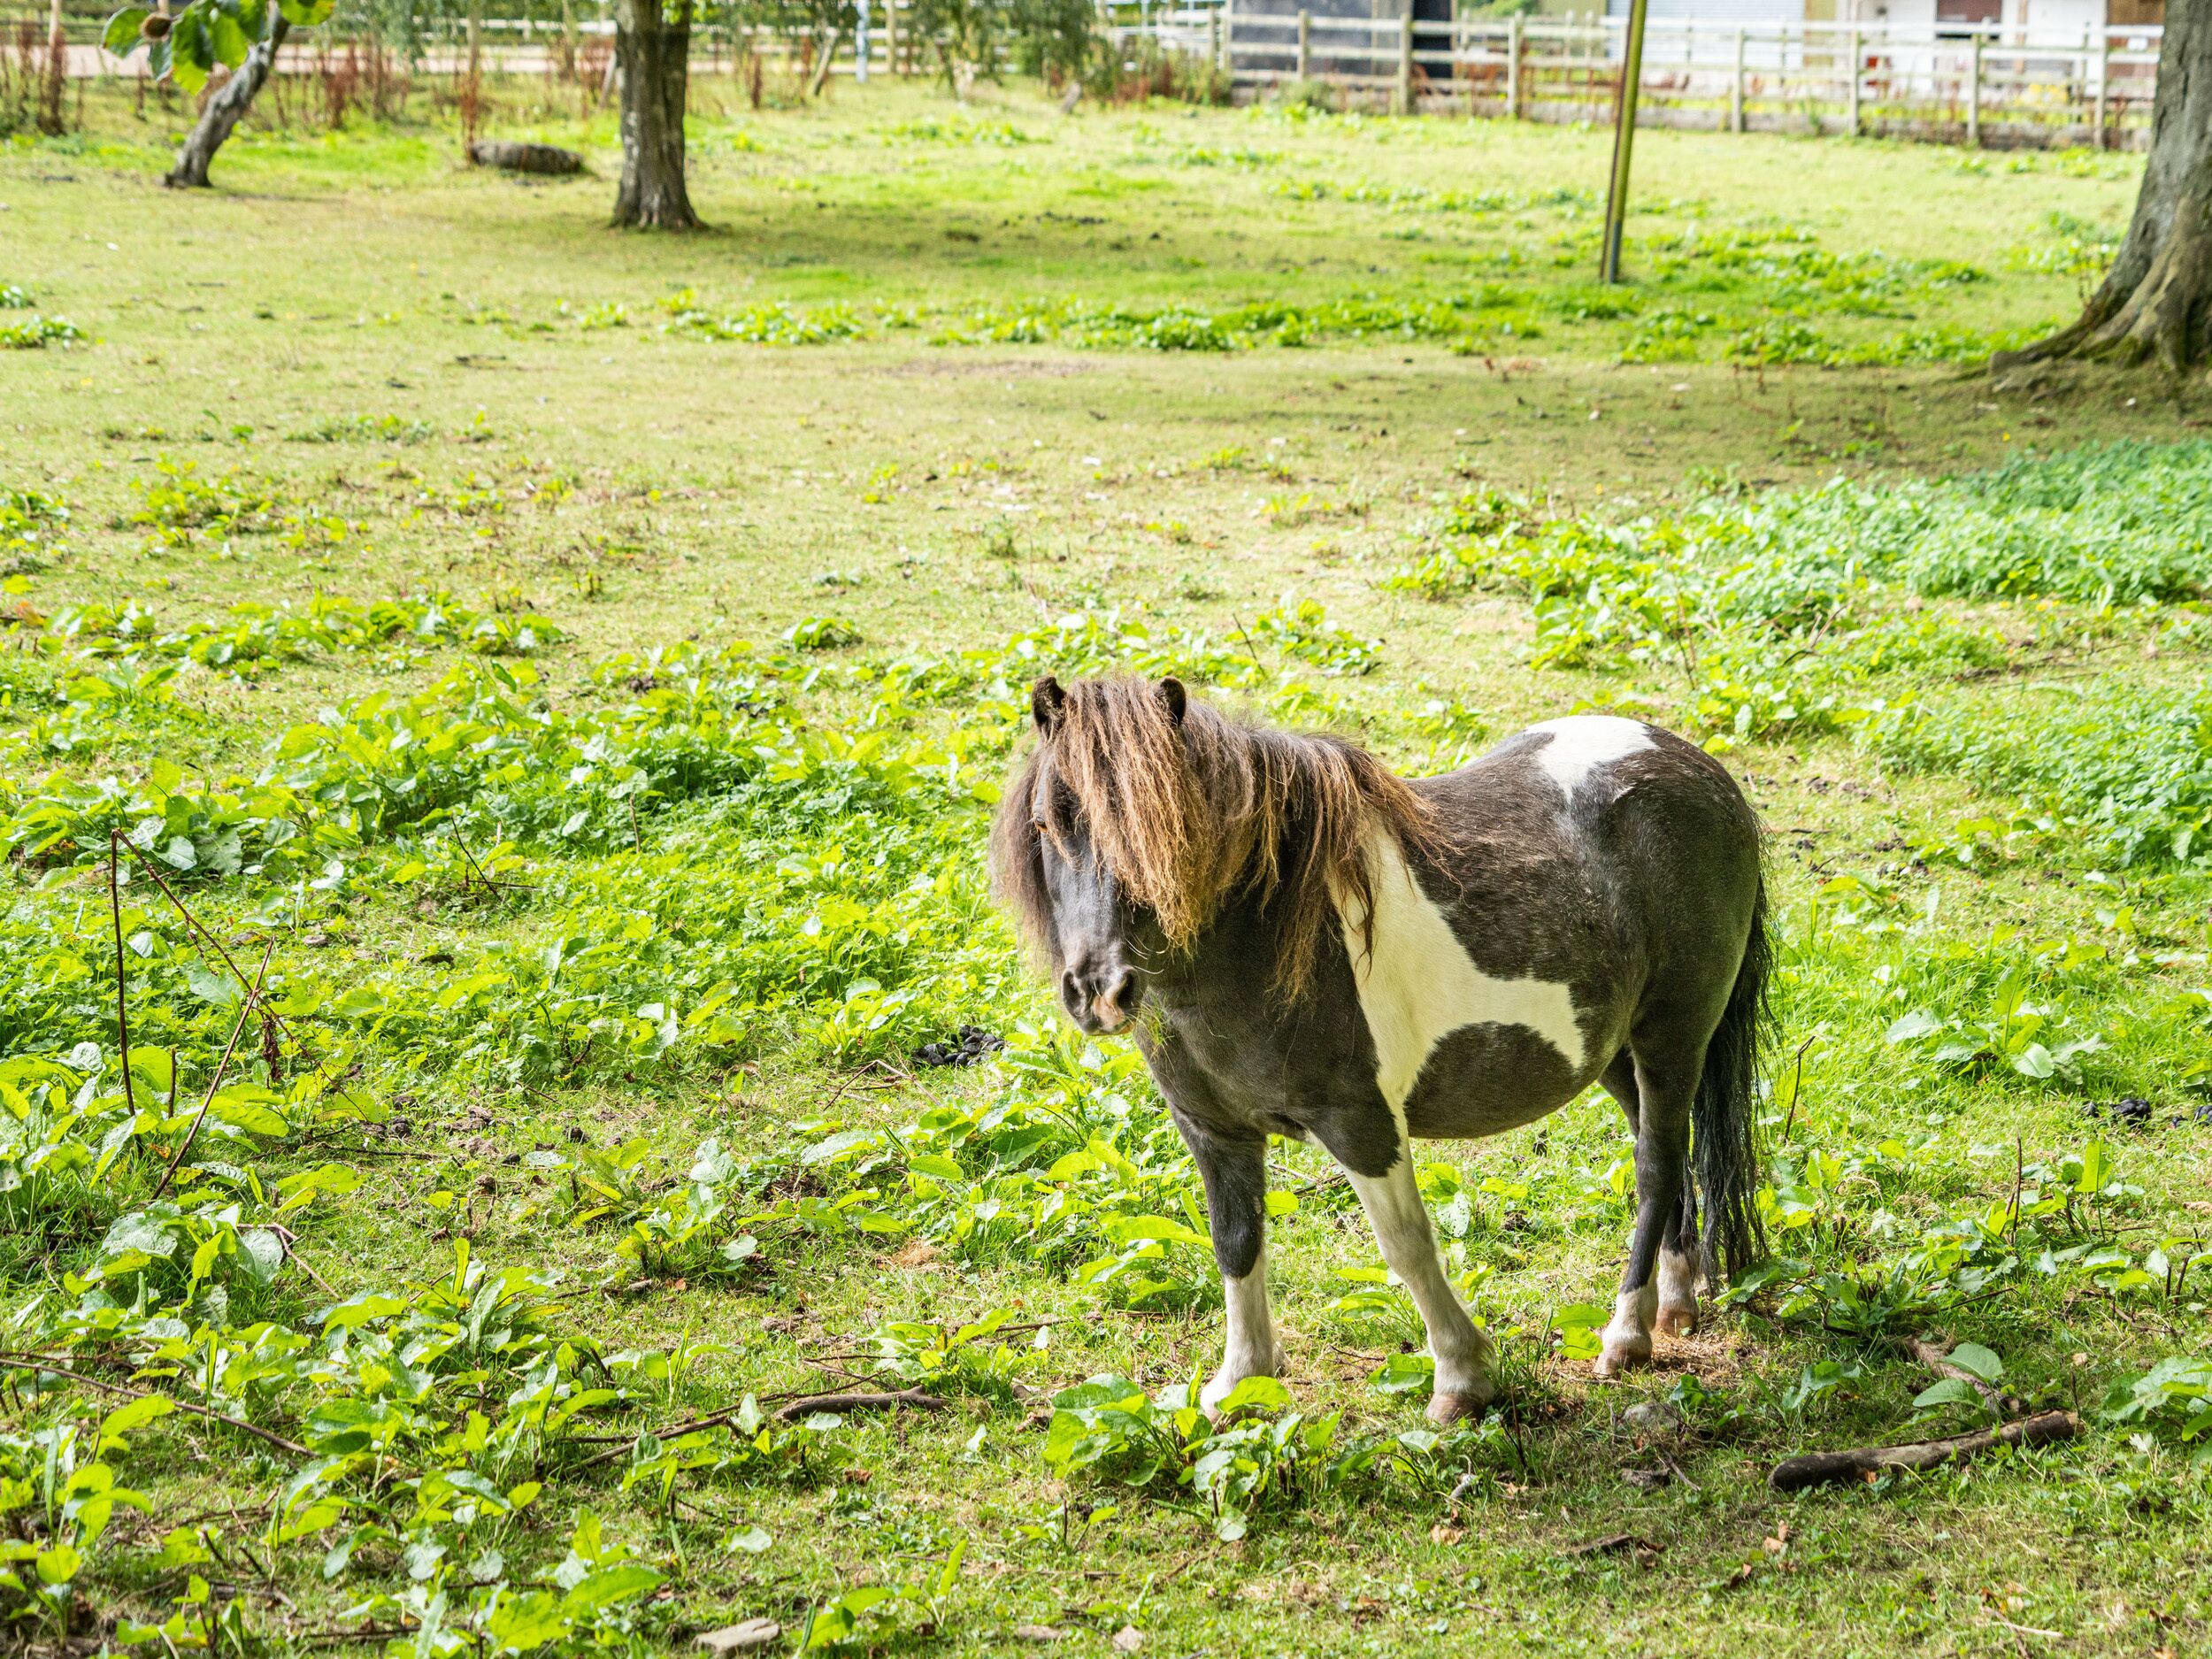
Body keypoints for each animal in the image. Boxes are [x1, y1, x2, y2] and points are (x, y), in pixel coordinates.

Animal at [992, 674, 1769, 1424]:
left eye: (1168, 830)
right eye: (1045, 823)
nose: (1098, 989)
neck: (1262, 935)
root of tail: (1702, 770)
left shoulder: (1362, 1123)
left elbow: (1404, 1243)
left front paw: (1462, 1378)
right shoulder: (1214, 1133)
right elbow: (1236, 1242)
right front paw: (1239, 1383)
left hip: (1674, 1034)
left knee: (1656, 1166)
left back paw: (1625, 1334)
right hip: (1613, 1051)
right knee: (1668, 1157)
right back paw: (1676, 1304)